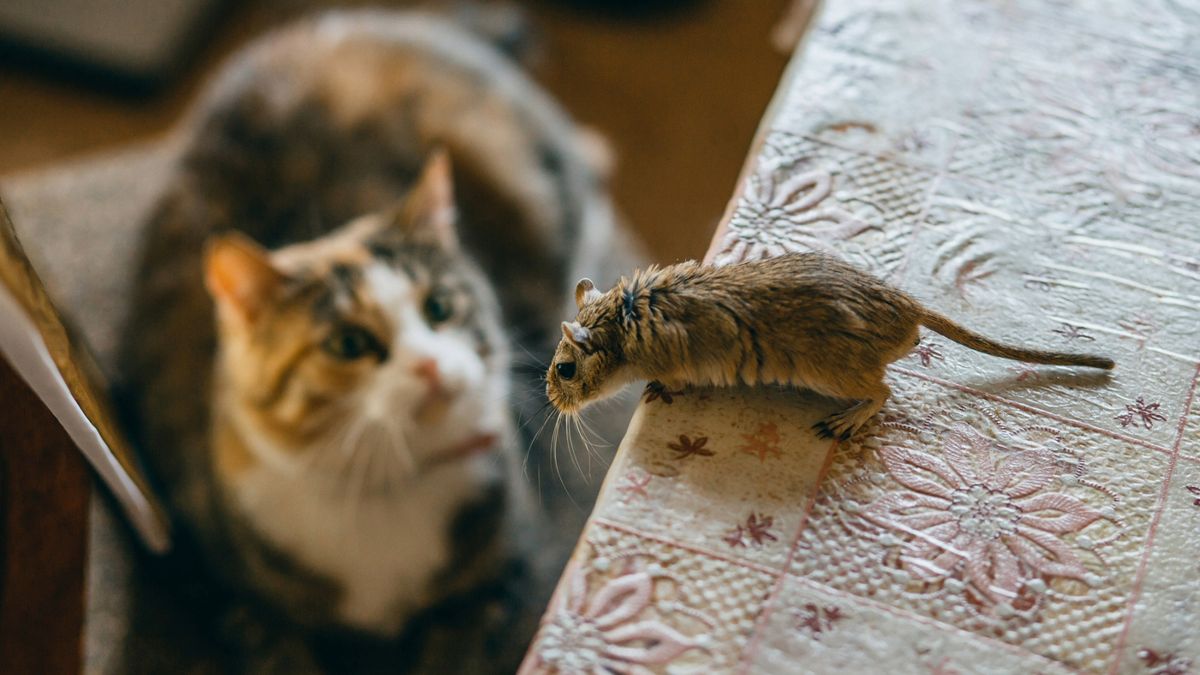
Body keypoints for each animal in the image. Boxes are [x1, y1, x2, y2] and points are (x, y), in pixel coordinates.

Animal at [118, 7, 643, 667]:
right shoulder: (237, 603)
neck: (386, 482)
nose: (429, 366)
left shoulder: (495, 586)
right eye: (348, 344)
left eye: (439, 306)